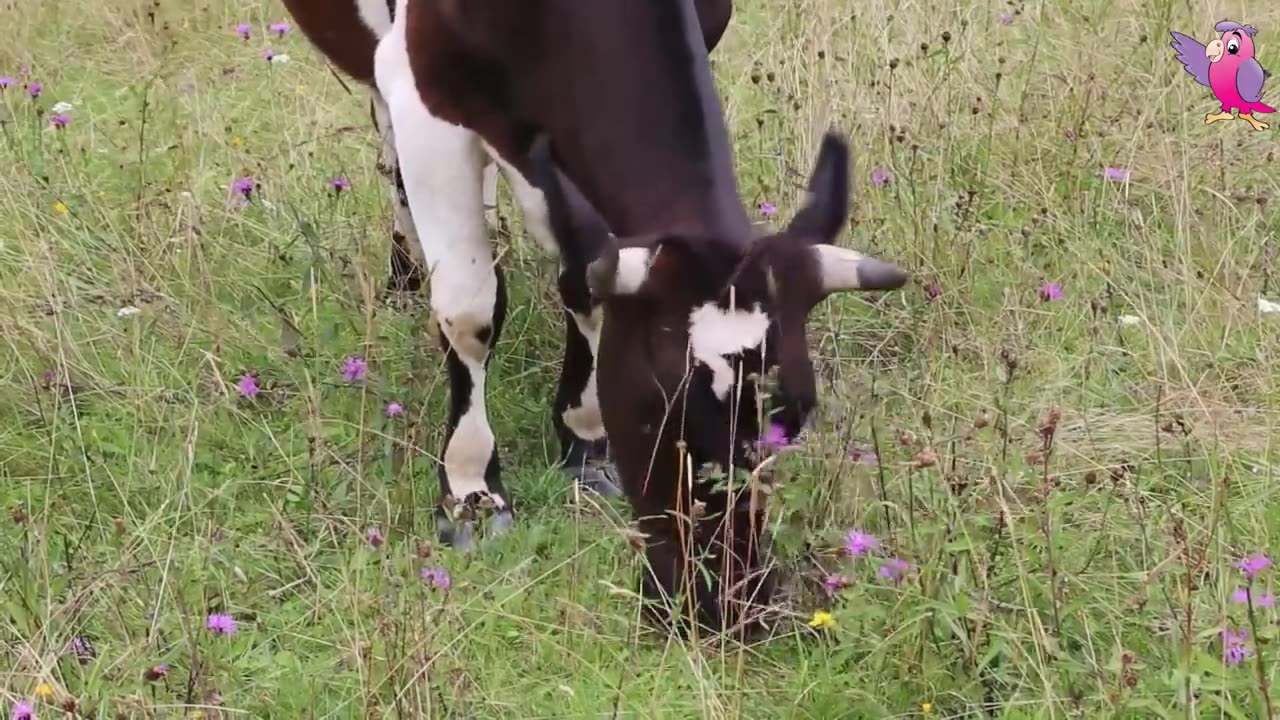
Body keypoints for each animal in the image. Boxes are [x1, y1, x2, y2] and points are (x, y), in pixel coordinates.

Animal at [285, 0, 916, 630]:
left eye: (795, 418)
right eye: (657, 413)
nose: (721, 606)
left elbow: (585, 273)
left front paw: (584, 441)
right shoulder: (425, 90)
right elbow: (469, 310)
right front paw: (471, 491)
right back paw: (406, 272)